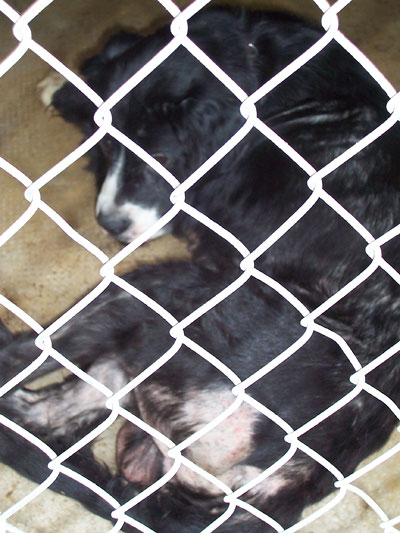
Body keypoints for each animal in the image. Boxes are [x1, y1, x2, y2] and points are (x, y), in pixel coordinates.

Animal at [1, 5, 400, 532]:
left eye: (162, 157)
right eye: (108, 149)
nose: (109, 224)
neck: (257, 68)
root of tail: (294, 472)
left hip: (156, 298)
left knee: (31, 366)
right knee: (50, 410)